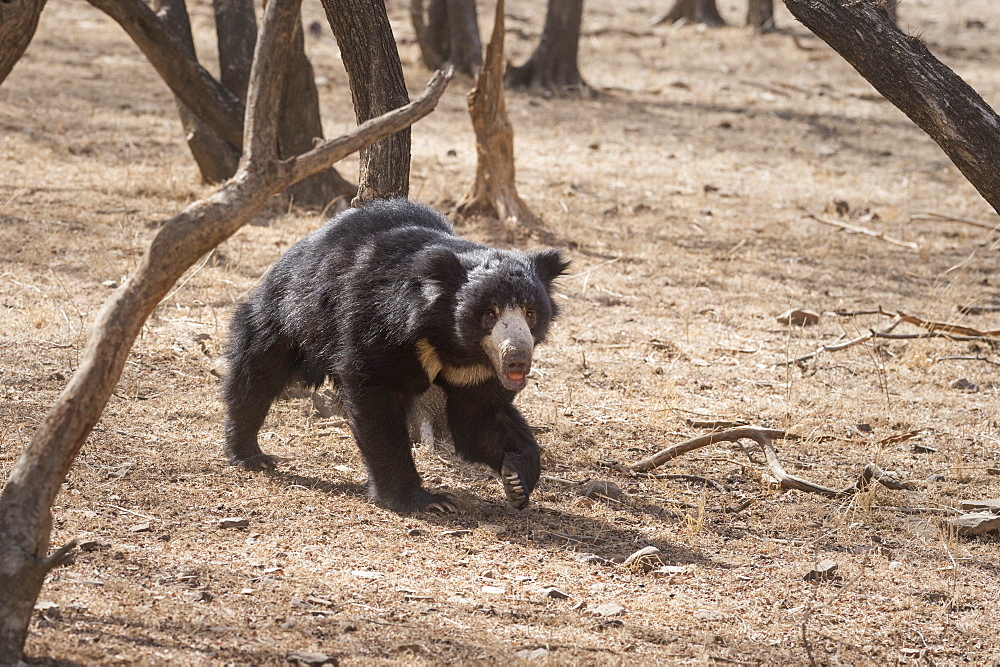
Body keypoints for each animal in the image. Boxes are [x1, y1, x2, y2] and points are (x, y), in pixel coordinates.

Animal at [225, 198, 572, 512]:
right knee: (257, 372)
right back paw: (250, 454)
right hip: (292, 312)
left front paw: (516, 479)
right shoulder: (380, 329)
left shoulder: (477, 370)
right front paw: (423, 501)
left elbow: (480, 417)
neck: (447, 339)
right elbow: (378, 405)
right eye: (490, 313)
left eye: (530, 312)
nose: (517, 359)